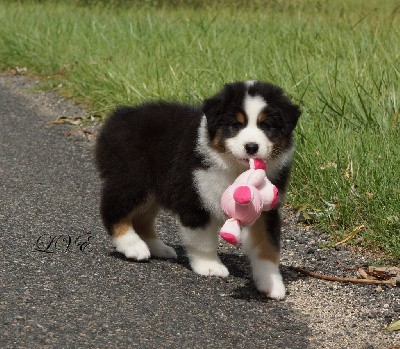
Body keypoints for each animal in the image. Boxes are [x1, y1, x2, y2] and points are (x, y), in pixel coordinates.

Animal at [96, 81, 300, 300]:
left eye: (266, 125)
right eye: (235, 125)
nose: (251, 147)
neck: (235, 168)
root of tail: (119, 117)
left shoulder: (266, 210)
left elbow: (267, 245)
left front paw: (272, 283)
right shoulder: (195, 196)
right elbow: (203, 240)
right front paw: (210, 266)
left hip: (154, 190)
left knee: (142, 219)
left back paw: (158, 248)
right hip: (133, 180)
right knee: (113, 209)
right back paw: (132, 245)